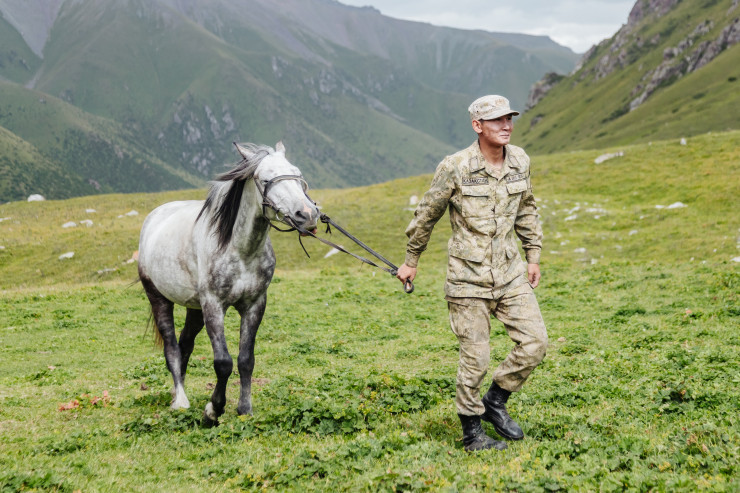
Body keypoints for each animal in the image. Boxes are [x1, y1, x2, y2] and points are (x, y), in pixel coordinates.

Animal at [137, 140, 320, 424]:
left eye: (297, 173)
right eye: (264, 179)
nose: (308, 215)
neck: (240, 249)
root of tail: (155, 216)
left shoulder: (254, 305)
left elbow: (246, 359)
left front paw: (244, 409)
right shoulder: (214, 306)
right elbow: (223, 362)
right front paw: (213, 410)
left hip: (194, 307)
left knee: (185, 345)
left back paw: (177, 392)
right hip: (159, 298)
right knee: (171, 348)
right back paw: (180, 401)